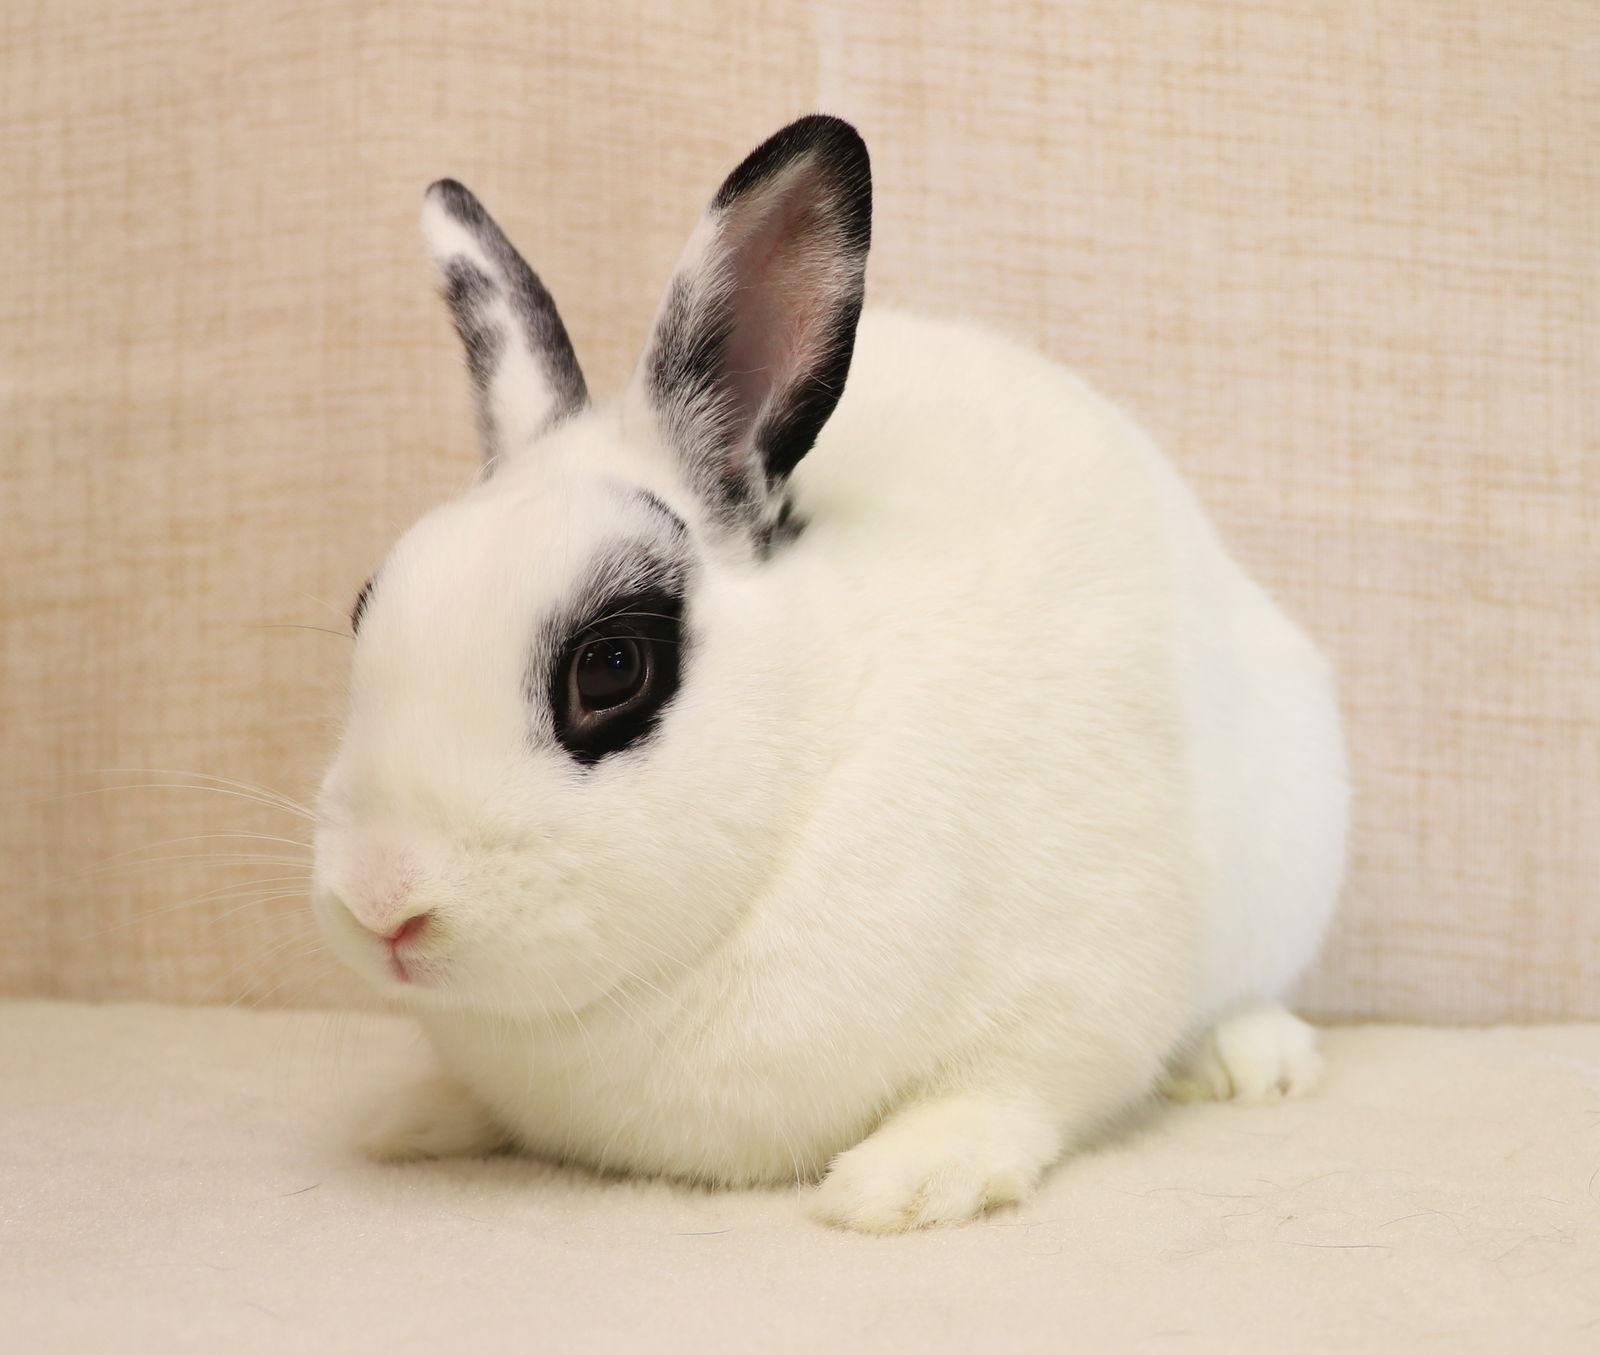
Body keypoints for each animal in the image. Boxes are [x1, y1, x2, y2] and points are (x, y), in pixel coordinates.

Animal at [311, 114, 1348, 1232]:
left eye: (612, 665)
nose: (382, 901)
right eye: (364, 609)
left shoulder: (1083, 972)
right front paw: (415, 1115)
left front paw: (903, 1182)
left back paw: (1252, 1062)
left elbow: (1010, 1087)